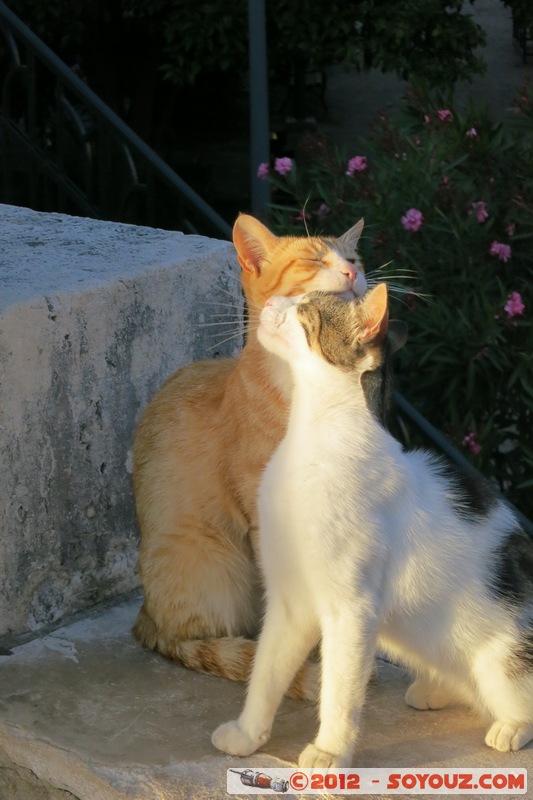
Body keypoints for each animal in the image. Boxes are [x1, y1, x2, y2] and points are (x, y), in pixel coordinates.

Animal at [211, 284, 532, 764]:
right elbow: (265, 673)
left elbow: (339, 693)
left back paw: (511, 726)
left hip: (500, 657)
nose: (270, 303)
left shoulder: (350, 610)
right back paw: (436, 688)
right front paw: (249, 734)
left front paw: (329, 752)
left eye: (306, 309)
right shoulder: (289, 599)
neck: (312, 437)